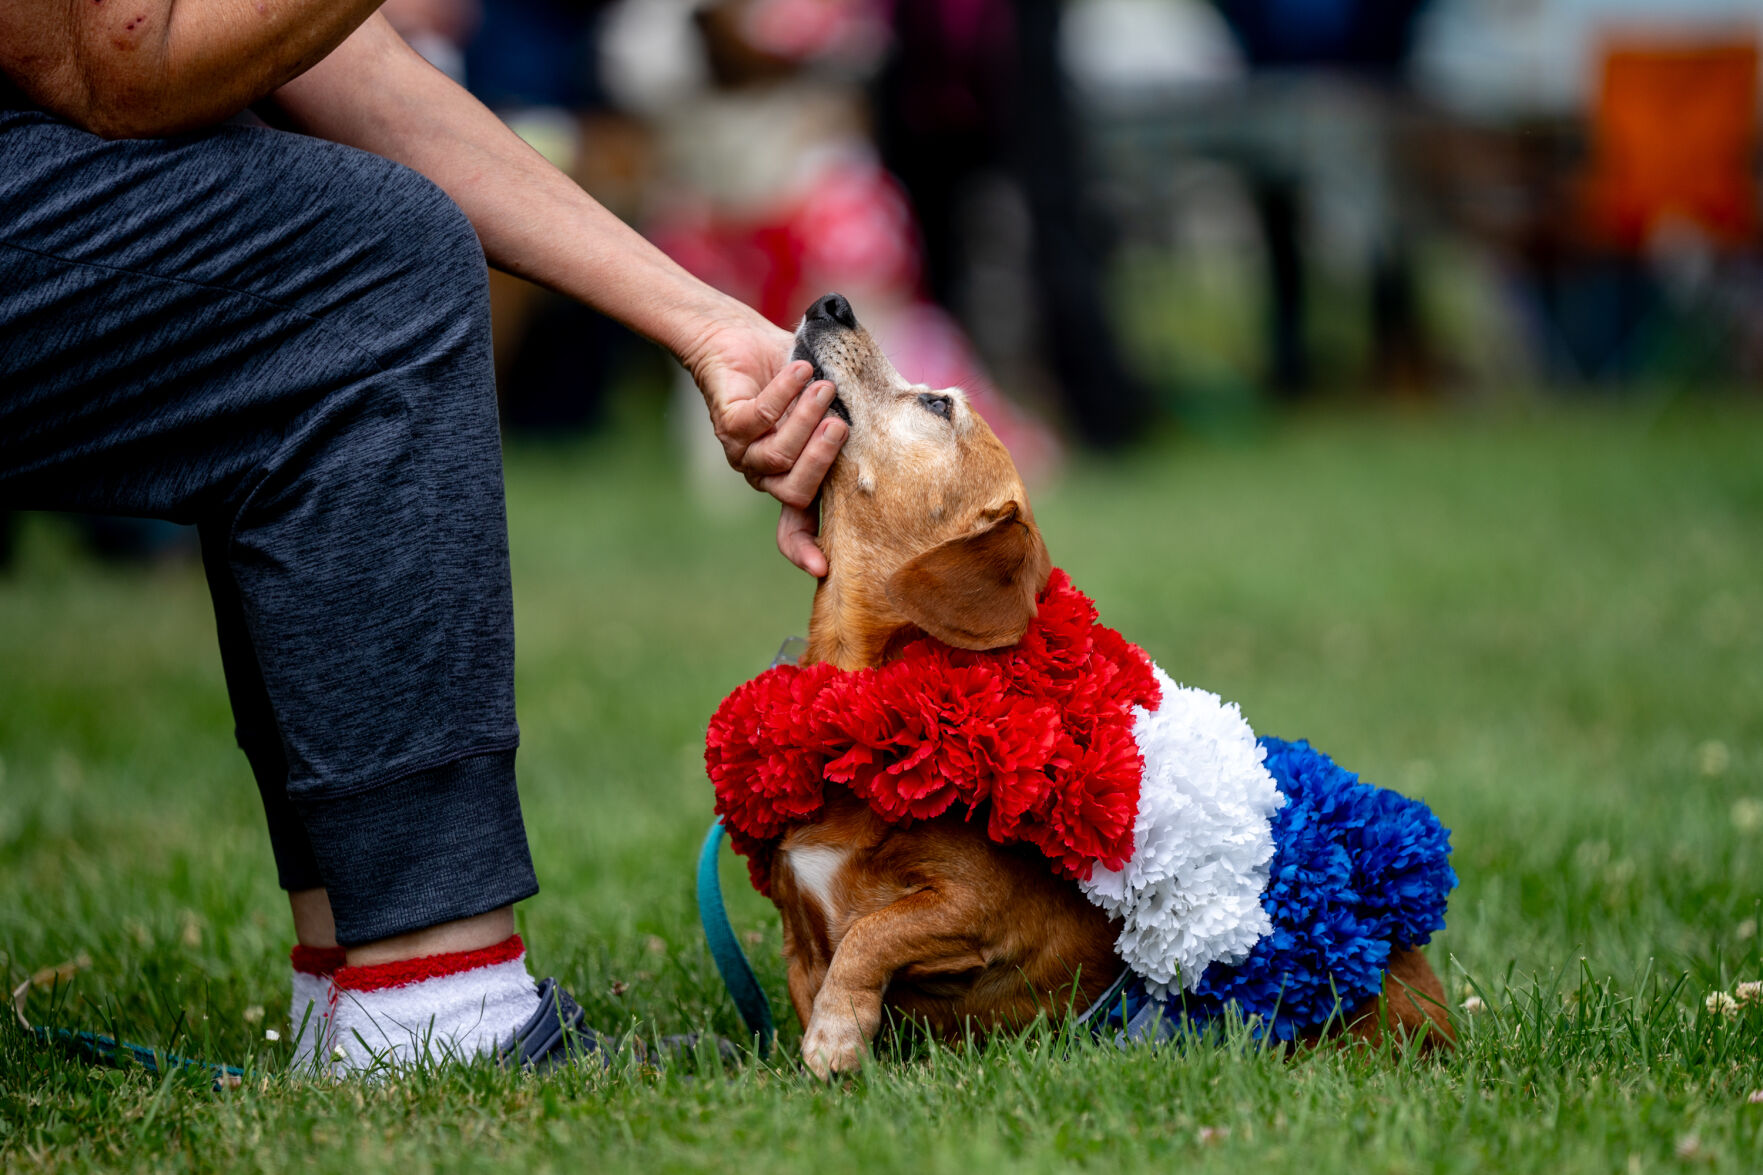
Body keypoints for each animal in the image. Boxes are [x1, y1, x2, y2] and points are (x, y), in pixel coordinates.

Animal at [715, 291, 1445, 1072]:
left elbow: (870, 934)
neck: (858, 689)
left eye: (938, 404)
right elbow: (815, 972)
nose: (833, 302)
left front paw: (836, 1031)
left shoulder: (973, 910)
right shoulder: (797, 932)